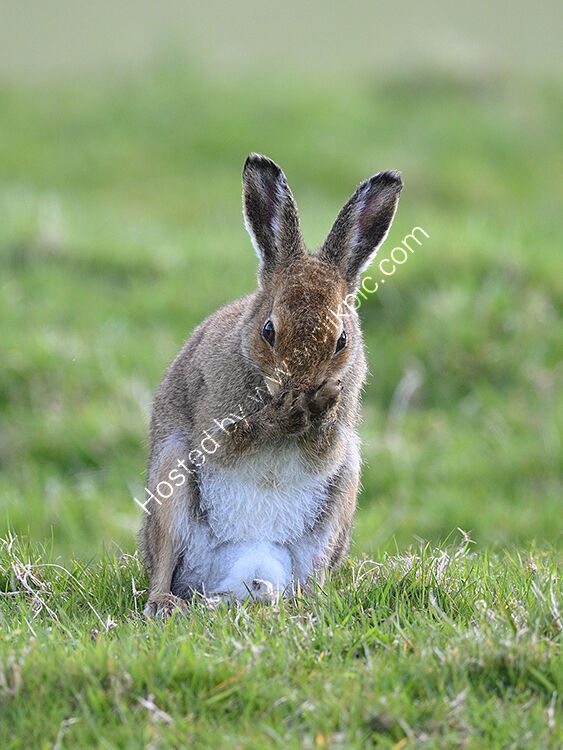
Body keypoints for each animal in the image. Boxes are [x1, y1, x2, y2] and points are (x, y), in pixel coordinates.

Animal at [139, 153, 402, 617]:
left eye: (342, 341)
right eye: (268, 331)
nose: (300, 387)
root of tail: (249, 570)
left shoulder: (339, 432)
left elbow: (323, 445)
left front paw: (318, 407)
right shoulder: (213, 422)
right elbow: (236, 438)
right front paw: (285, 415)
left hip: (340, 501)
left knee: (314, 575)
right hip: (170, 477)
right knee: (164, 560)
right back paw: (164, 604)